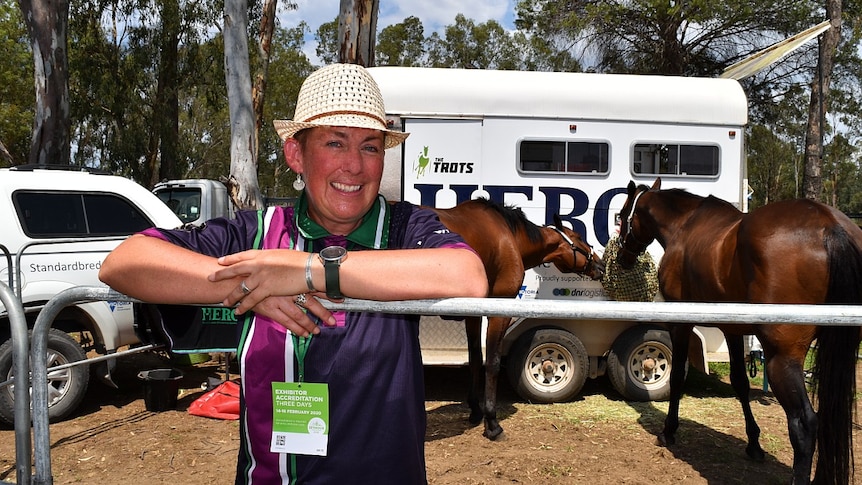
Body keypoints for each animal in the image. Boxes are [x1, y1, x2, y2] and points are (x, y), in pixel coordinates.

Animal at [428, 199, 604, 440]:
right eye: (580, 238)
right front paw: (492, 423)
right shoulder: (499, 309)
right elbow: (492, 362)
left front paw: (475, 410)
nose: (601, 266)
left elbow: (475, 358)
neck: (509, 237)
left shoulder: (473, 311)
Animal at [616, 179, 860, 484]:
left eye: (621, 215)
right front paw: (754, 443)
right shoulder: (732, 328)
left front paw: (668, 431)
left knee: (804, 424)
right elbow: (740, 383)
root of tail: (830, 225)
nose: (622, 257)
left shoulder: (680, 323)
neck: (684, 225)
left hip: (782, 358)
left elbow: (677, 376)